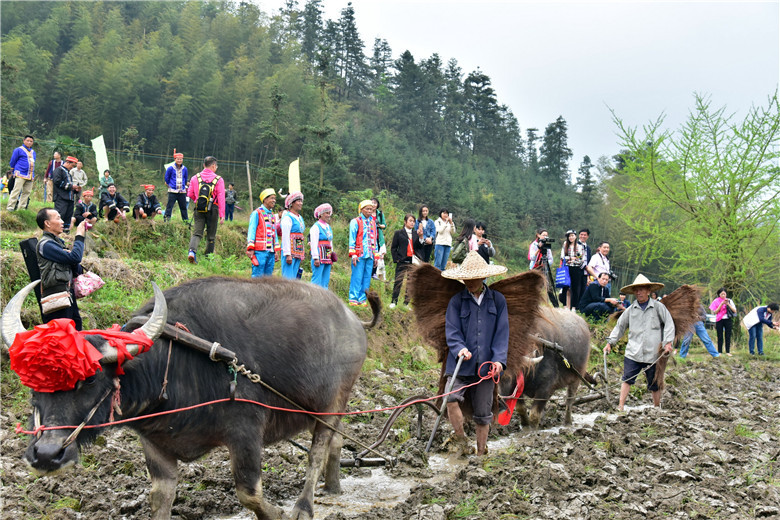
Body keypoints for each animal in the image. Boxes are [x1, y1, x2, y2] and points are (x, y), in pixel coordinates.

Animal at [0, 276, 378, 520]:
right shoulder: (154, 443)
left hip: (333, 401)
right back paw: (333, 486)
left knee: (317, 450)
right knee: (336, 442)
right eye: (32, 381)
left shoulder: (246, 430)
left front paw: (279, 514)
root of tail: (352, 320)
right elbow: (160, 497)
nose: (46, 454)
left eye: (90, 379)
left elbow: (249, 492)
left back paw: (303, 506)